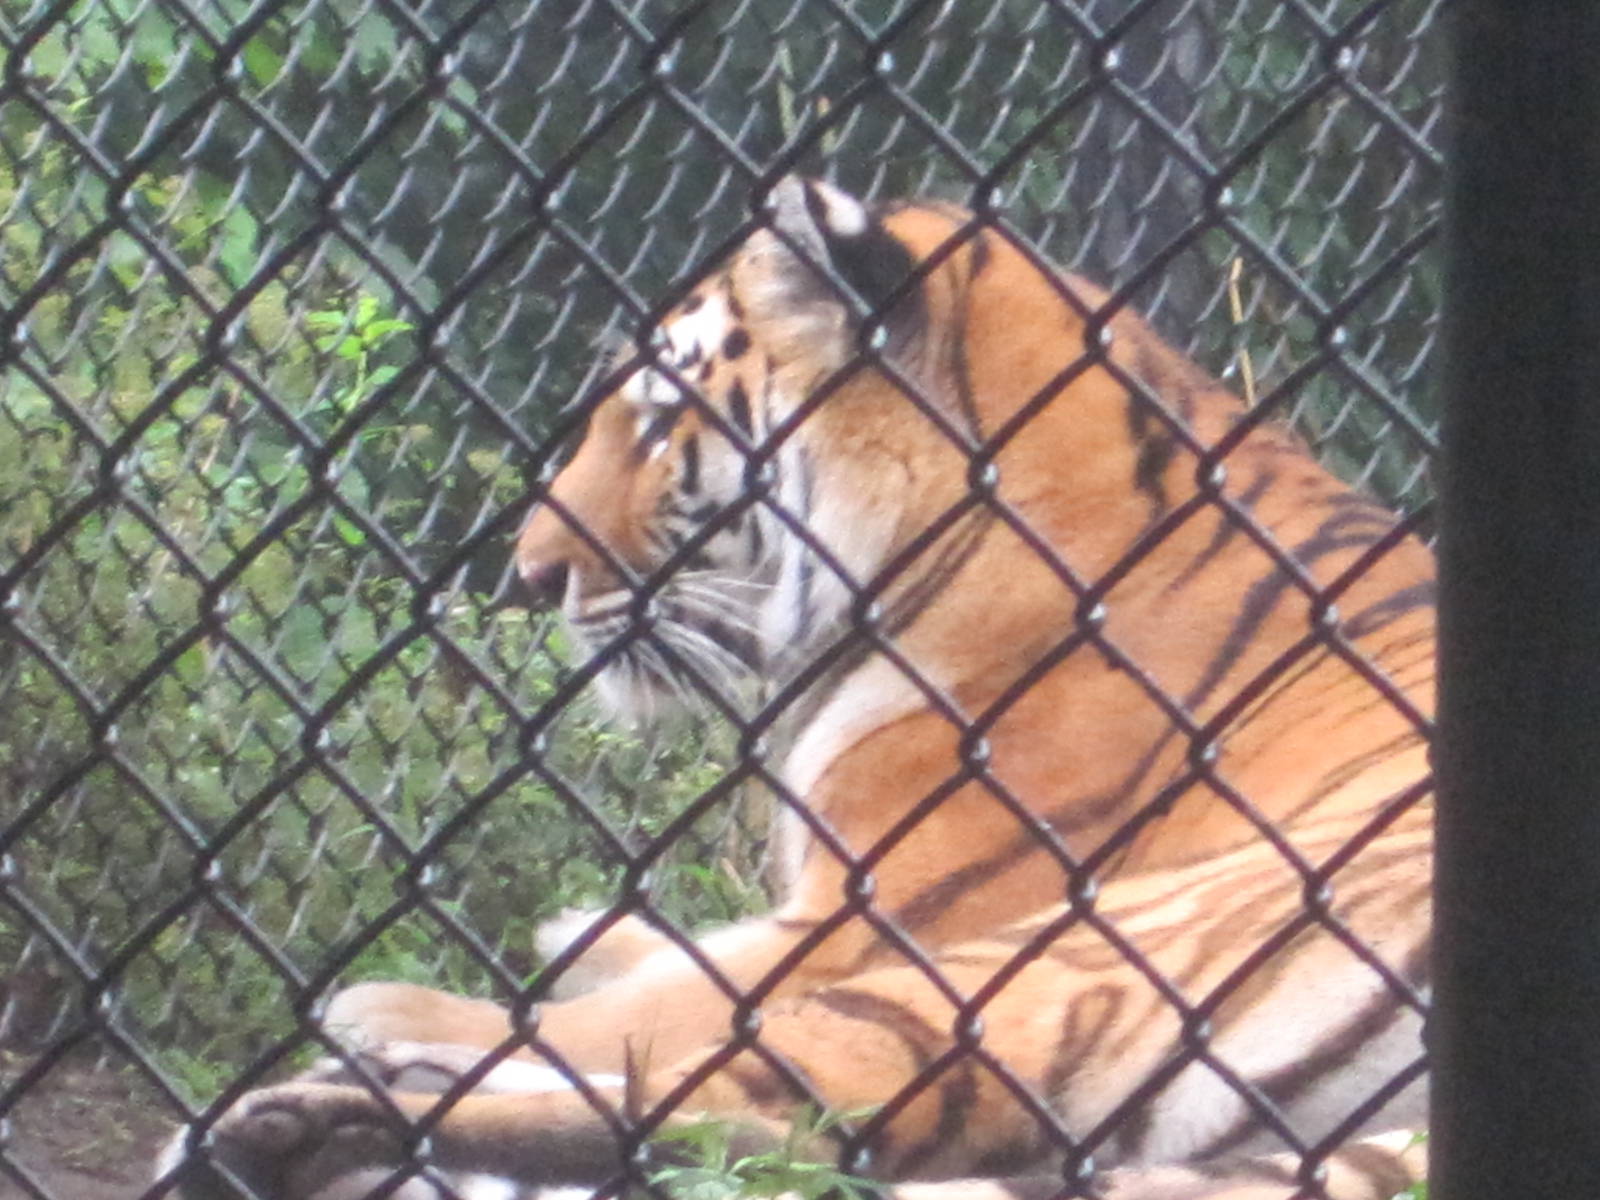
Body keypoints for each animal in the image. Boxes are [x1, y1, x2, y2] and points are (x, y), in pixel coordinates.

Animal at [159, 177, 1436, 1200]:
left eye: (659, 420)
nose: (529, 572)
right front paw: (584, 926)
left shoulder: (868, 916)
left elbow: (656, 1003)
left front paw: (400, 1000)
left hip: (1087, 956)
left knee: (724, 1107)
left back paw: (312, 1109)